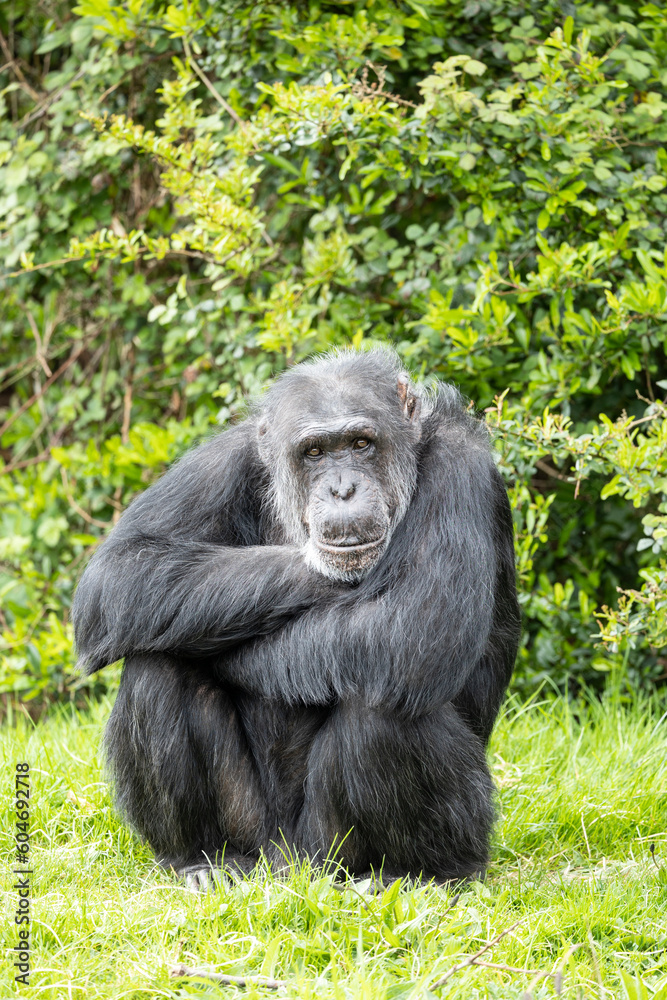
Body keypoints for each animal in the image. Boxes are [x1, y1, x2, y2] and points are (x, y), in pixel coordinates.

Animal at [73, 348, 520, 888]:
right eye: (314, 452)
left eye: (361, 443)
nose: (343, 489)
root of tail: (288, 864)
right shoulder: (222, 459)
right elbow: (118, 571)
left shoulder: (462, 465)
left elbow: (418, 627)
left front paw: (243, 662)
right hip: (255, 832)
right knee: (156, 666)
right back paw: (201, 859)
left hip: (333, 851)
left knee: (383, 701)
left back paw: (423, 875)